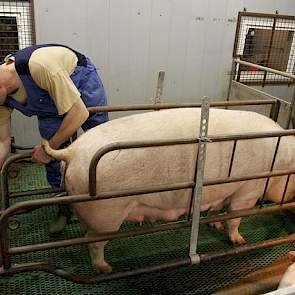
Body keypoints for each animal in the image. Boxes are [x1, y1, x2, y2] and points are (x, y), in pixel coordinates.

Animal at [43, 108, 295, 272]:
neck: (282, 160)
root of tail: (71, 151)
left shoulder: (223, 190)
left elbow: (218, 210)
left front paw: (213, 225)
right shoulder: (249, 189)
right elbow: (235, 217)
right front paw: (240, 242)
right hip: (107, 216)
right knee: (93, 243)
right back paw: (106, 269)